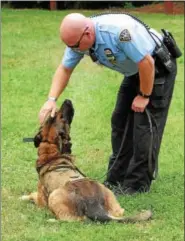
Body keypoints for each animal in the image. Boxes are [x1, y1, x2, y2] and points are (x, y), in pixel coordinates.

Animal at [21, 99, 152, 222]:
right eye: (56, 114)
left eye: (60, 116)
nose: (67, 100)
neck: (51, 150)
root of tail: (94, 205)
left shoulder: (41, 198)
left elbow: (32, 195)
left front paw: (24, 197)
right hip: (110, 197)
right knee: (119, 212)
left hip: (54, 196)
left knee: (75, 220)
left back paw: (51, 220)